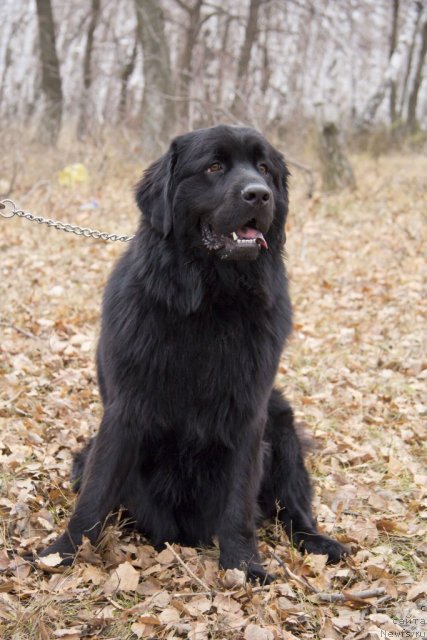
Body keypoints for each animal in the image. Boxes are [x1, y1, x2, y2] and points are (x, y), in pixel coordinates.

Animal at [40, 125, 348, 580]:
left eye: (264, 169)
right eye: (214, 167)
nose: (259, 195)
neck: (211, 302)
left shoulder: (249, 415)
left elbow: (239, 502)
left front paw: (243, 566)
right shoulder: (125, 408)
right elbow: (94, 494)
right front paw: (62, 552)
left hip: (282, 424)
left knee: (293, 508)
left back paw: (320, 543)